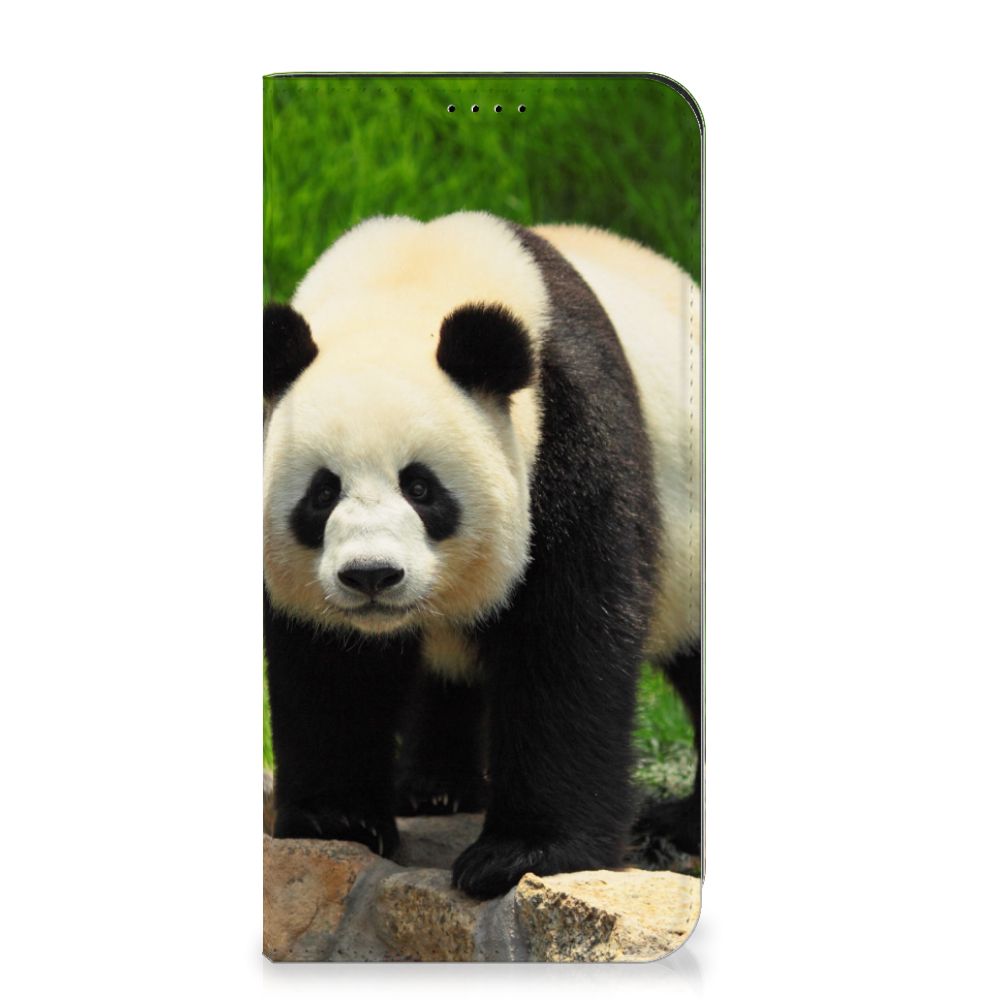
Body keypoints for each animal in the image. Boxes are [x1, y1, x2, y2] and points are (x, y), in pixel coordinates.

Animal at [263, 211, 701, 900]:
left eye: (421, 488)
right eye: (322, 492)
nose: (371, 576)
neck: (407, 283)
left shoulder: (569, 430)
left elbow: (567, 638)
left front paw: (521, 854)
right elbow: (327, 661)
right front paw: (337, 819)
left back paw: (680, 824)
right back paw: (434, 789)